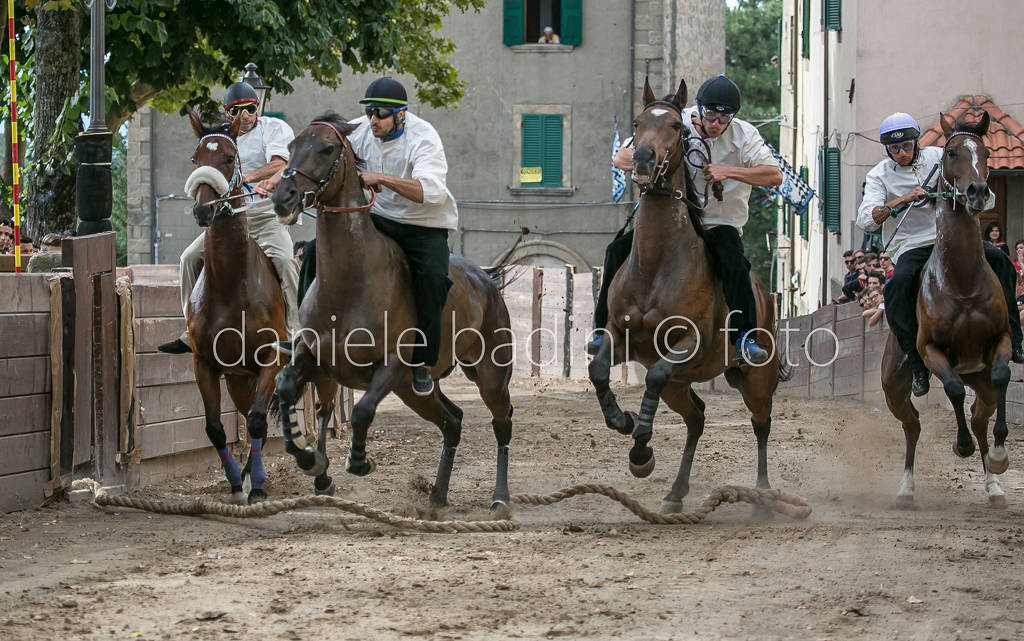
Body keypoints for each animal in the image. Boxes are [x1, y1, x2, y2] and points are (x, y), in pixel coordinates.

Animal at [272, 112, 516, 505]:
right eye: (292, 146)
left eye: (327, 148)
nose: (283, 196)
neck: (351, 281)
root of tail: (486, 280)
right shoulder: (316, 358)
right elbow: (284, 387)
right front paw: (311, 462)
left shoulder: (392, 366)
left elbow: (361, 411)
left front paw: (359, 461)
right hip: (416, 392)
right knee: (453, 421)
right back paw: (437, 497)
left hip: (488, 376)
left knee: (501, 421)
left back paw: (500, 497)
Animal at [589, 78, 786, 509]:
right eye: (637, 122)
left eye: (677, 126)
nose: (643, 158)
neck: (657, 264)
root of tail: (766, 295)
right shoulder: (620, 335)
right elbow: (599, 371)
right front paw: (624, 425)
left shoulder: (689, 344)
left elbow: (655, 374)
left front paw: (640, 446)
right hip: (681, 388)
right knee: (696, 418)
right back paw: (675, 492)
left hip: (756, 378)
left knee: (761, 423)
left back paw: (764, 489)